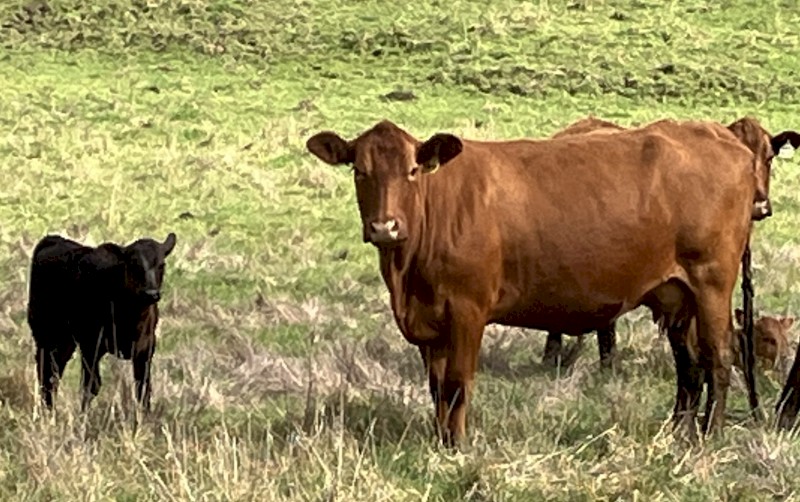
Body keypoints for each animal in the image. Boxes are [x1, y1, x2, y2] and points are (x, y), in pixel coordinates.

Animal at [27, 232, 176, 412]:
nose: (151, 294)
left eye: (162, 264)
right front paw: (83, 416)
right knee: (46, 373)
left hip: (65, 342)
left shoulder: (145, 347)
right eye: (133, 264)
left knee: (55, 371)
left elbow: (143, 388)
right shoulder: (91, 345)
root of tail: (54, 239)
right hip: (45, 334)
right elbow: (91, 386)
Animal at [306, 118, 758, 446]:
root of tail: (720, 136)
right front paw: (439, 439)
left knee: (718, 356)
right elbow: (435, 387)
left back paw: (710, 433)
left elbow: (456, 383)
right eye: (359, 171)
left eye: (413, 170)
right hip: (676, 295)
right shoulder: (428, 322)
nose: (385, 227)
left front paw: (458, 445)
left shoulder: (467, 311)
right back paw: (678, 430)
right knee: (689, 364)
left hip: (711, 281)